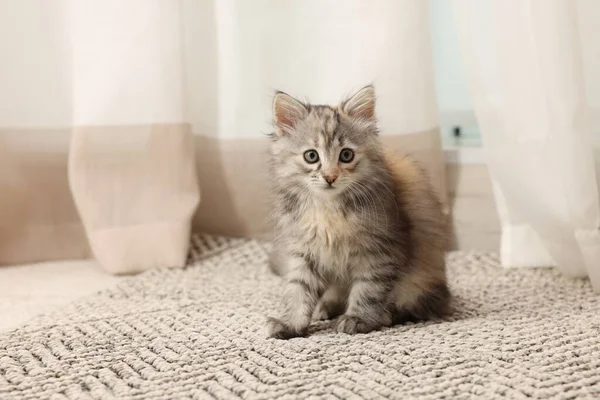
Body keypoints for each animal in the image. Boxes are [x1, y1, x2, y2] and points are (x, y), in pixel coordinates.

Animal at [264, 86, 448, 340]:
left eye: (346, 155)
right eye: (311, 156)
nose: (330, 176)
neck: (328, 210)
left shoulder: (380, 250)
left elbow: (368, 289)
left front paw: (358, 319)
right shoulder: (305, 250)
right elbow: (298, 290)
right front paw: (290, 323)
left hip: (423, 280)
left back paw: (386, 314)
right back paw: (324, 307)